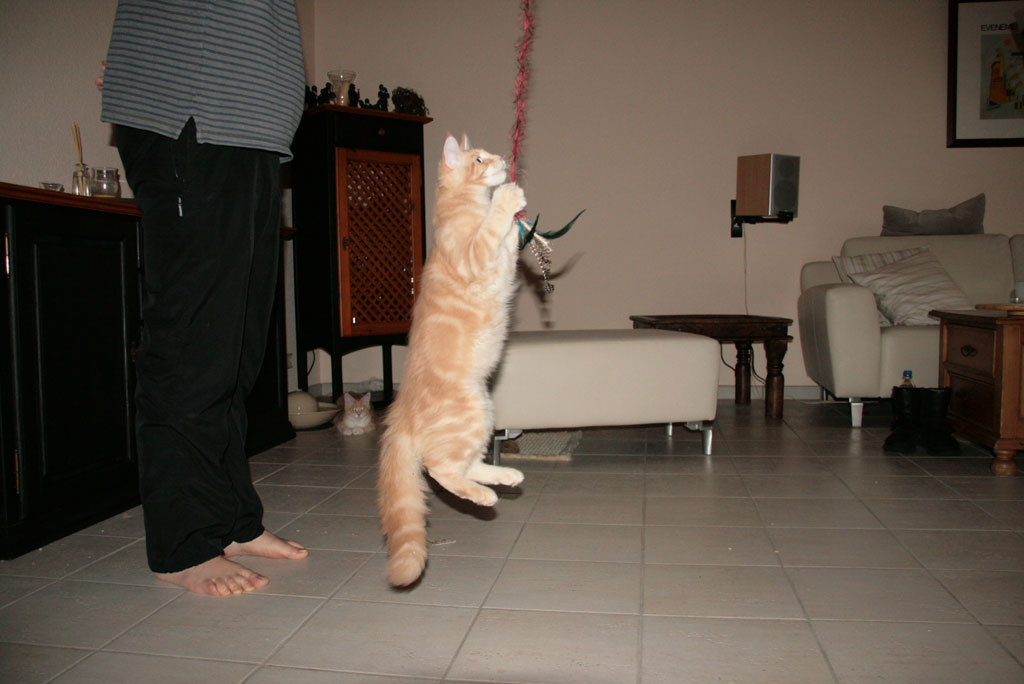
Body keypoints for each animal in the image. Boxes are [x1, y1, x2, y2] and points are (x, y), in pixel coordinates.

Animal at [377, 134, 526, 586]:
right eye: (480, 159)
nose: (503, 161)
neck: (465, 206)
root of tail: (399, 411)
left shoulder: (503, 257)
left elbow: (509, 242)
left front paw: (515, 213)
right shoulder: (474, 253)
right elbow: (492, 228)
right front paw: (507, 197)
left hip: (482, 411)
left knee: (466, 465)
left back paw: (505, 476)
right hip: (468, 412)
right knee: (440, 470)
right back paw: (486, 494)